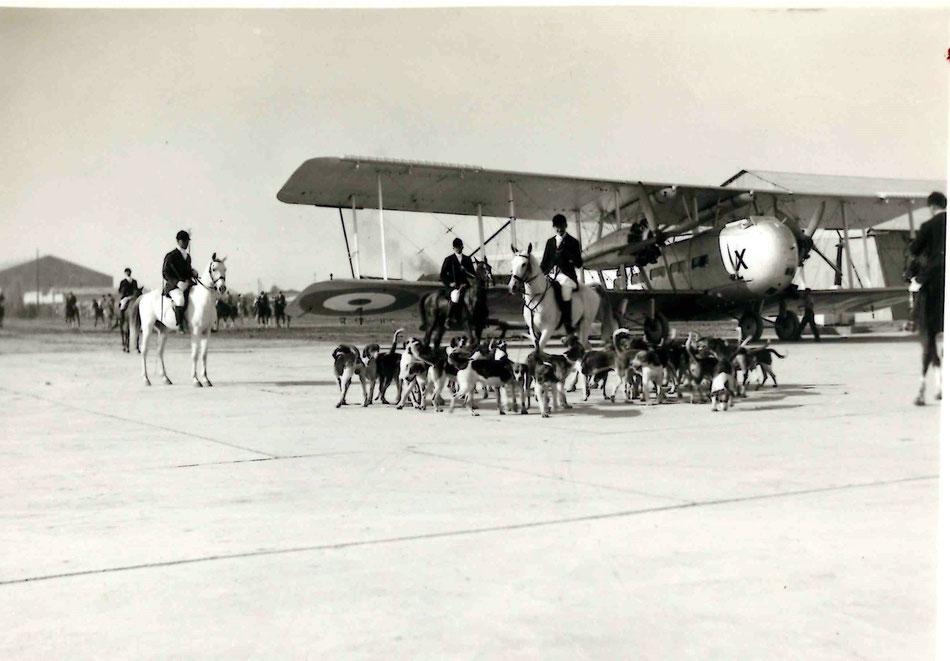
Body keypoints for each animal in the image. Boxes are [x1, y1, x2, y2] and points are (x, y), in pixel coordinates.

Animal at [130, 254, 229, 386]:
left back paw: (165, 378)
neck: (204, 299)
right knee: (144, 350)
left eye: (225, 269)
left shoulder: (206, 332)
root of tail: (144, 296)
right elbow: (194, 355)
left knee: (159, 351)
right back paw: (146, 379)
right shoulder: (196, 331)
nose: (222, 288)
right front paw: (195, 380)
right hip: (147, 328)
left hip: (163, 330)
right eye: (214, 269)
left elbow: (204, 355)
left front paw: (205, 379)